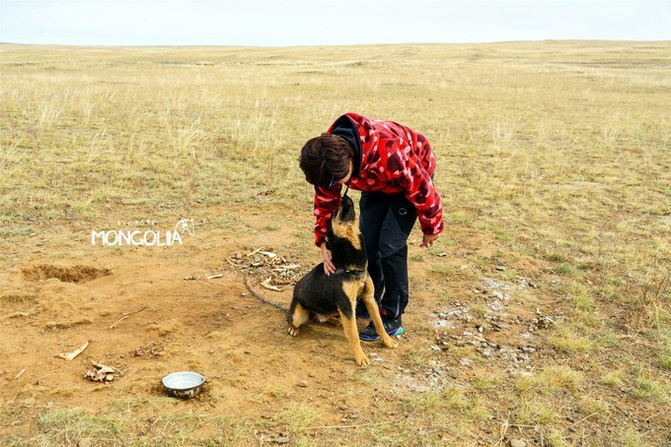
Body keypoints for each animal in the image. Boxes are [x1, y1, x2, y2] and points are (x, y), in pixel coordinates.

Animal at [288, 196, 400, 368]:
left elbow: (379, 323)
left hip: (334, 308)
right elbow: (354, 336)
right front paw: (360, 357)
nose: (344, 197)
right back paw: (294, 328)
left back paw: (334, 320)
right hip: (296, 313)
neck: (350, 266)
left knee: (323, 317)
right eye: (334, 212)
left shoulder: (369, 297)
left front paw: (387, 341)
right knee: (295, 320)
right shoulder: (346, 305)